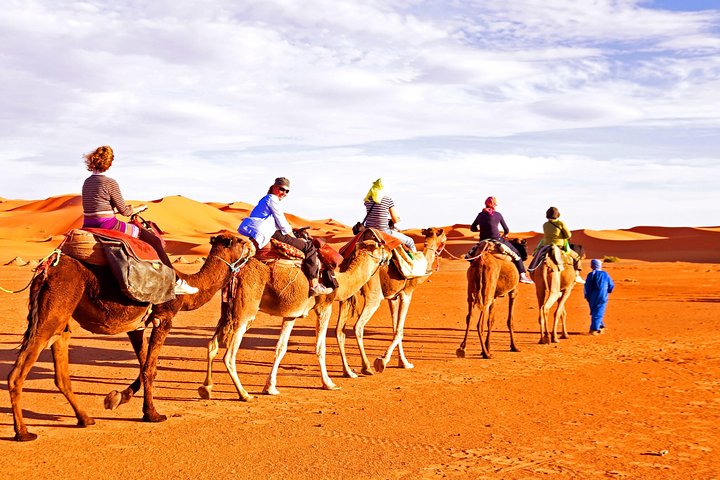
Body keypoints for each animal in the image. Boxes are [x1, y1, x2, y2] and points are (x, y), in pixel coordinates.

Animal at [7, 230, 255, 442]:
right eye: (240, 241)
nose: (253, 245)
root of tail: (46, 269)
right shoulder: (164, 318)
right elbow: (150, 368)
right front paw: (152, 414)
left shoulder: (136, 326)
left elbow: (144, 365)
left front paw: (117, 397)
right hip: (54, 309)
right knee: (18, 372)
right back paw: (23, 432)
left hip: (62, 317)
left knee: (61, 369)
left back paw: (85, 418)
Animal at [198, 238, 388, 401]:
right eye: (380, 246)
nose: (389, 254)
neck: (340, 280)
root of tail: (236, 272)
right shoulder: (324, 305)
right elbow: (320, 347)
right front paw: (329, 383)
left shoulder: (291, 314)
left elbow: (281, 348)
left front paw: (270, 388)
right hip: (245, 311)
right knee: (229, 355)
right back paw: (244, 394)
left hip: (227, 310)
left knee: (212, 345)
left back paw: (206, 388)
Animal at [335, 227, 447, 377]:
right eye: (444, 237)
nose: (445, 241)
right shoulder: (407, 293)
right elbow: (400, 330)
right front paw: (382, 361)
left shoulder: (393, 297)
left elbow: (395, 328)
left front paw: (403, 362)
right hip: (373, 294)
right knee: (358, 326)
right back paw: (366, 367)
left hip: (347, 294)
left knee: (339, 331)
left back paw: (348, 371)